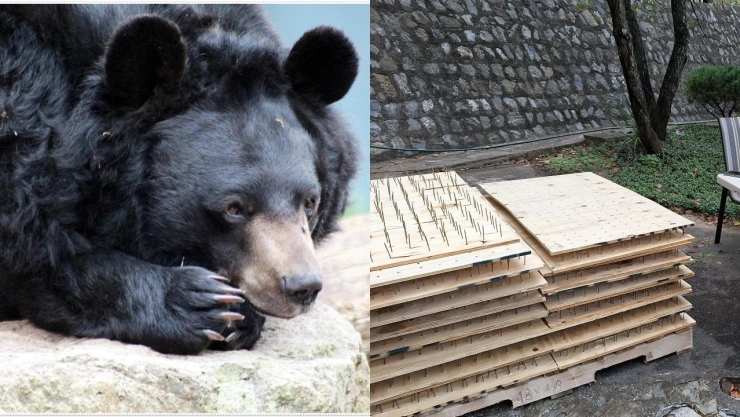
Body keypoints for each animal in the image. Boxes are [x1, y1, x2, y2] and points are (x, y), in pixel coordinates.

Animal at [0, 5, 359, 354]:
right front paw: (198, 305)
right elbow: (39, 254)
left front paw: (240, 318)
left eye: (310, 202)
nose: (302, 288)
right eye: (233, 209)